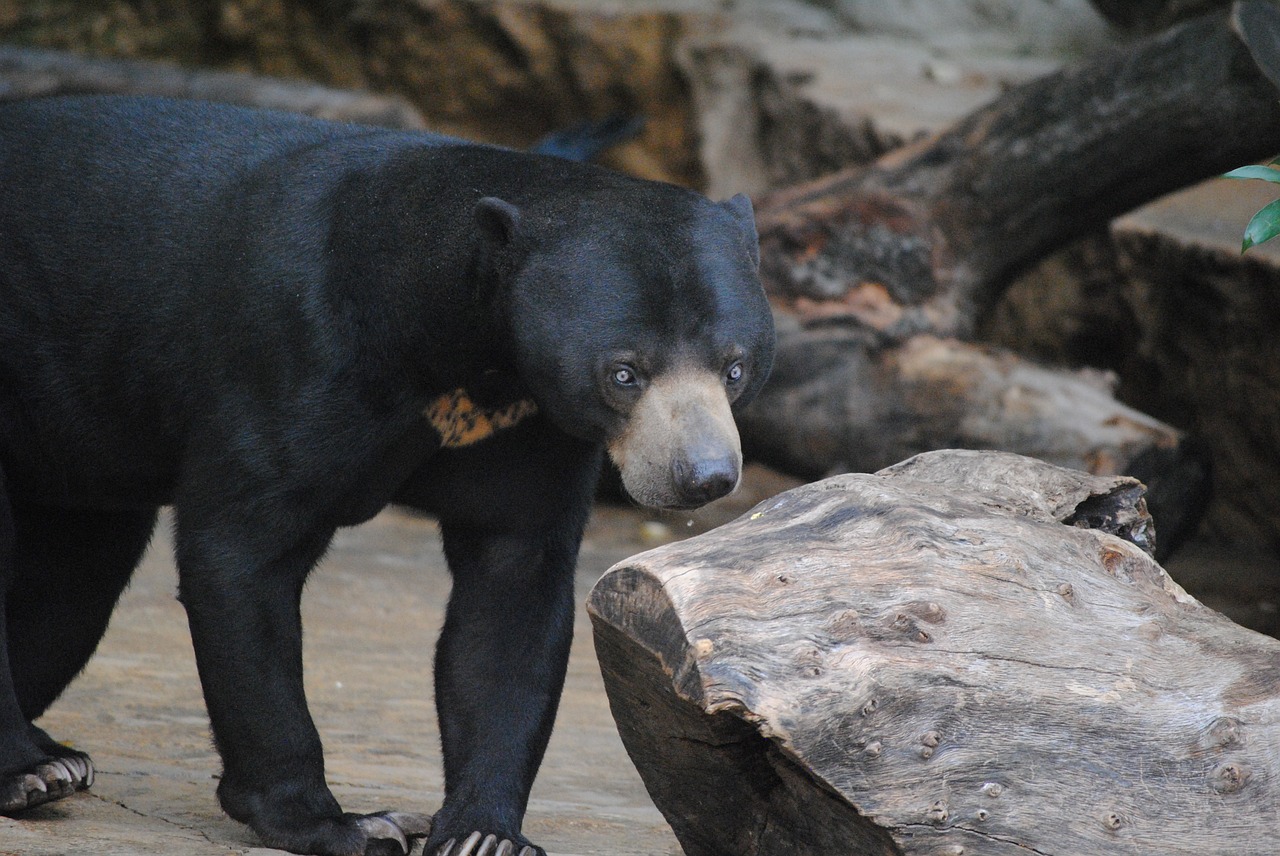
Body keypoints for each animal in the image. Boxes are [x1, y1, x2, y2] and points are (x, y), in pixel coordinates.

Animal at [0, 95, 773, 854]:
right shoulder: (296, 364)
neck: (468, 350)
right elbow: (242, 552)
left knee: (74, 581)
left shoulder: (532, 430)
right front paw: (341, 823)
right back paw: (35, 771)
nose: (703, 477)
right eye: (623, 373)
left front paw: (483, 834)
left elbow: (511, 595)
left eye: (736, 367)